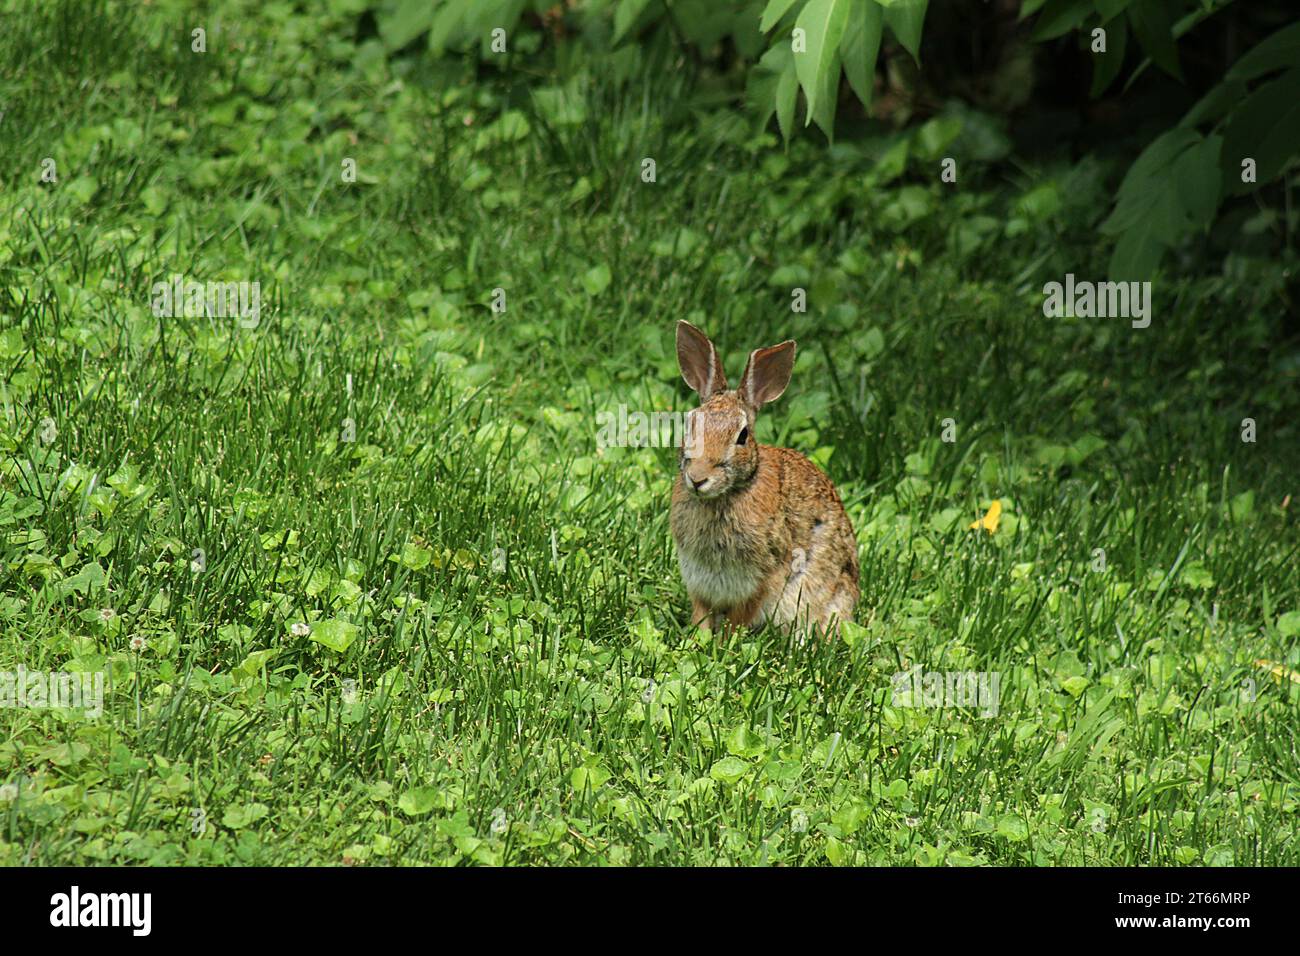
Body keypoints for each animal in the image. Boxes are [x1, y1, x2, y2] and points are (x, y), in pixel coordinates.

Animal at [670, 320, 859, 639]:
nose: (697, 478)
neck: (729, 494)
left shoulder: (764, 579)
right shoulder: (698, 580)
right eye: (689, 424)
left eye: (742, 436)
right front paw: (698, 640)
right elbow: (701, 615)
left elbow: (739, 617)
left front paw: (722, 644)